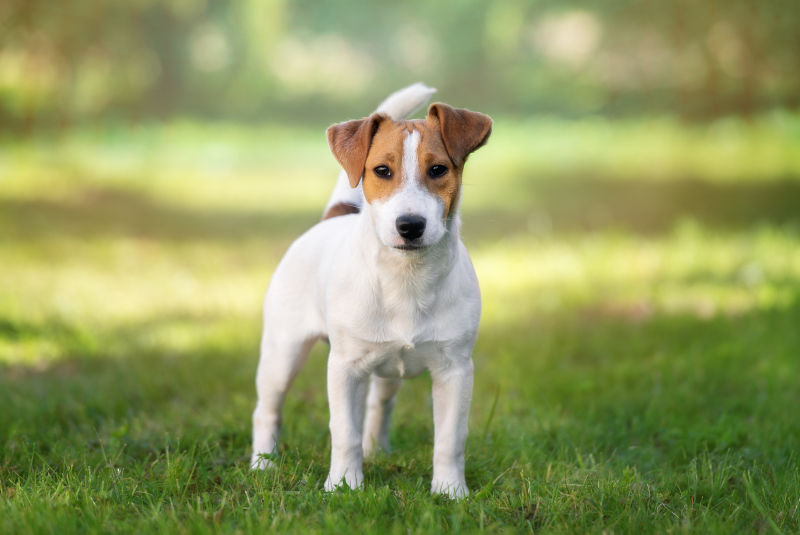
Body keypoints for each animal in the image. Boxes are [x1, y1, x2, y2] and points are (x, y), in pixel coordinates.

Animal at [250, 82, 490, 498]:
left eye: (438, 169)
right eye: (382, 170)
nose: (410, 225)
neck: (406, 279)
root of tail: (331, 219)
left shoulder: (455, 370)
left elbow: (450, 438)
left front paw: (449, 491)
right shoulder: (345, 368)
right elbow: (344, 430)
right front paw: (344, 485)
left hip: (385, 371)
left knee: (379, 407)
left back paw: (375, 450)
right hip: (283, 352)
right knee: (267, 409)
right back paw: (262, 465)